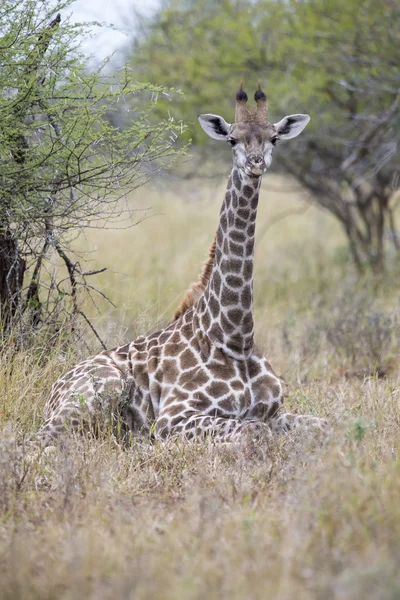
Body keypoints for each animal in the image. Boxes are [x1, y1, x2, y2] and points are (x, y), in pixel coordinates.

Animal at [36, 84, 328, 448]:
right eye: (232, 139)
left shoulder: (274, 412)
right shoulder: (172, 419)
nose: (256, 164)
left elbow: (324, 425)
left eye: (273, 137)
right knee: (41, 441)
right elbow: (251, 431)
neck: (235, 336)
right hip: (99, 392)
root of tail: (52, 389)